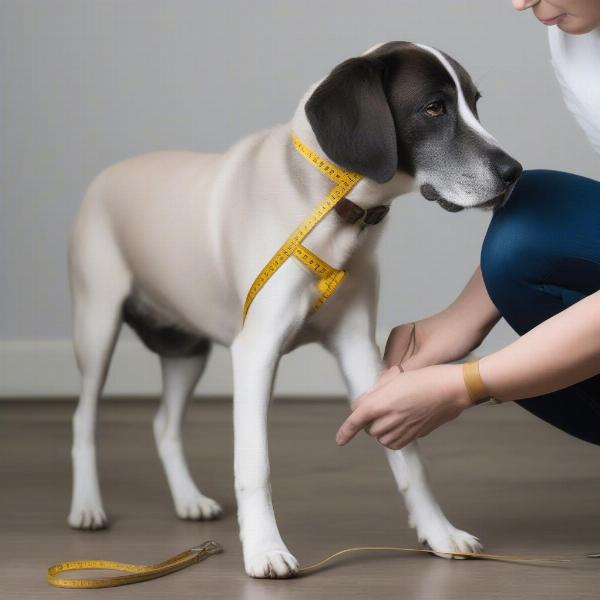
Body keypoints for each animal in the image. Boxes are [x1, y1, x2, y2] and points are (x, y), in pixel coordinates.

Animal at [68, 41, 524, 576]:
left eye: (475, 102)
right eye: (434, 108)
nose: (515, 172)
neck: (329, 205)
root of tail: (106, 176)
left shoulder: (358, 348)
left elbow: (408, 456)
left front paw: (439, 532)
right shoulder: (255, 351)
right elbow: (255, 464)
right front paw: (265, 550)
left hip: (187, 351)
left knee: (165, 424)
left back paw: (188, 500)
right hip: (97, 328)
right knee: (83, 419)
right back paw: (87, 508)